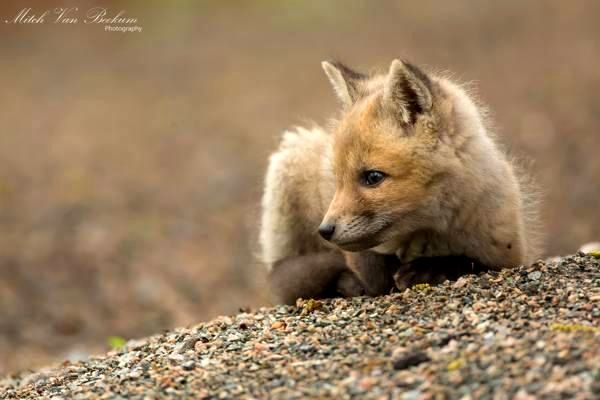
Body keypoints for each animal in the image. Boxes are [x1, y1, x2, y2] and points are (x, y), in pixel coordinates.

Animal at [260, 58, 540, 304]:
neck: (428, 234)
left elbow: (471, 262)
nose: (325, 230)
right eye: (337, 179)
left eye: (373, 177)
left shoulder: (508, 252)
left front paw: (432, 269)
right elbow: (368, 270)